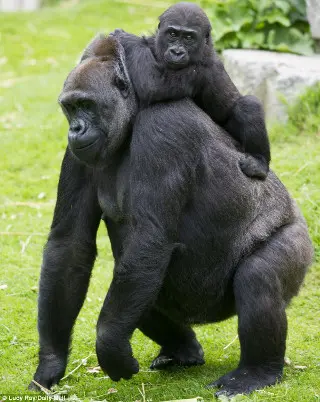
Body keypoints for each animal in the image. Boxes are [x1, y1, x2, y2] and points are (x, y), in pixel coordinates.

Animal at [28, 33, 314, 396]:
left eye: (88, 105)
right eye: (70, 108)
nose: (76, 129)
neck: (133, 116)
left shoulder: (162, 128)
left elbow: (151, 236)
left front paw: (109, 346)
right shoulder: (76, 154)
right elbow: (69, 247)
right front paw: (51, 361)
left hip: (298, 242)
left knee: (259, 277)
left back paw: (257, 371)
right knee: (139, 288)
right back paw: (183, 349)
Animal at [112, 1, 270, 177]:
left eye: (189, 38)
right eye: (172, 34)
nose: (176, 52)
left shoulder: (201, 69)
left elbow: (153, 84)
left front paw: (127, 38)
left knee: (248, 106)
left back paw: (259, 161)